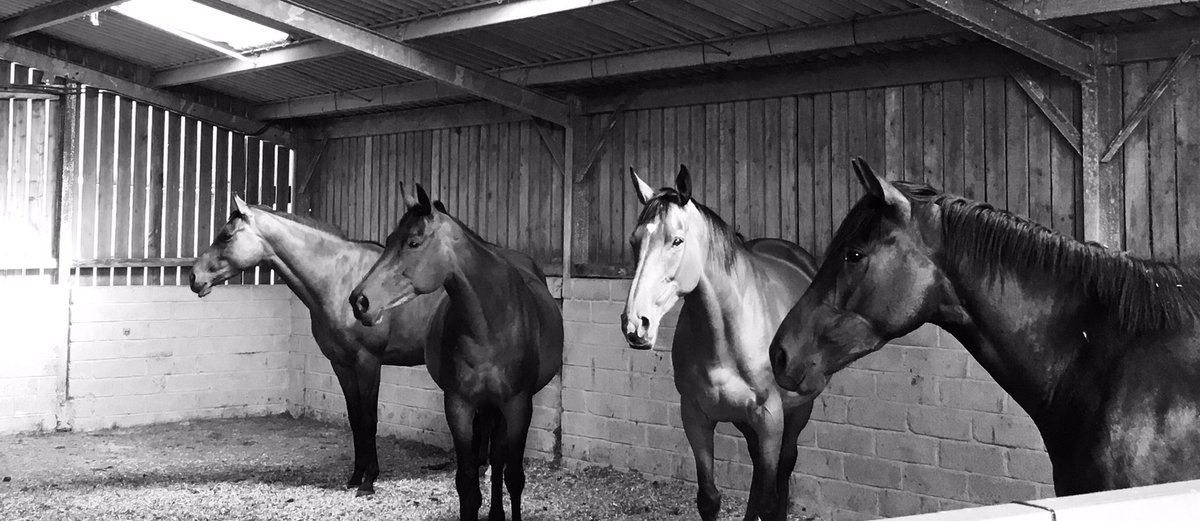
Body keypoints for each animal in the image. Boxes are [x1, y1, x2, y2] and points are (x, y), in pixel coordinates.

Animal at [190, 195, 465, 497]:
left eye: (227, 235)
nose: (194, 277)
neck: (340, 280)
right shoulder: (341, 364)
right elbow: (355, 420)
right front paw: (356, 476)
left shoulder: (368, 362)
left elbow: (369, 419)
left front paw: (369, 481)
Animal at [348, 183, 563, 521]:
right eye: (389, 240)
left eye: (413, 242)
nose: (360, 301)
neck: (490, 324)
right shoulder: (459, 405)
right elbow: (467, 484)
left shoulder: (519, 405)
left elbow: (514, 477)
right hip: (486, 407)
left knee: (499, 461)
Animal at [621, 165, 817, 521]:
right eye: (634, 240)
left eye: (677, 240)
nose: (635, 324)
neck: (727, 334)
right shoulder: (696, 416)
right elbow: (709, 498)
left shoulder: (770, 417)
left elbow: (770, 496)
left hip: (797, 411)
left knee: (783, 465)